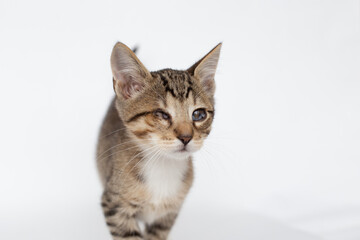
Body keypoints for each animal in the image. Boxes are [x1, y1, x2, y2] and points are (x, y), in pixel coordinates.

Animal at [97, 42, 222, 239]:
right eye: (161, 114)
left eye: (199, 114)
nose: (186, 137)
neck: (162, 164)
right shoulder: (114, 205)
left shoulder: (168, 215)